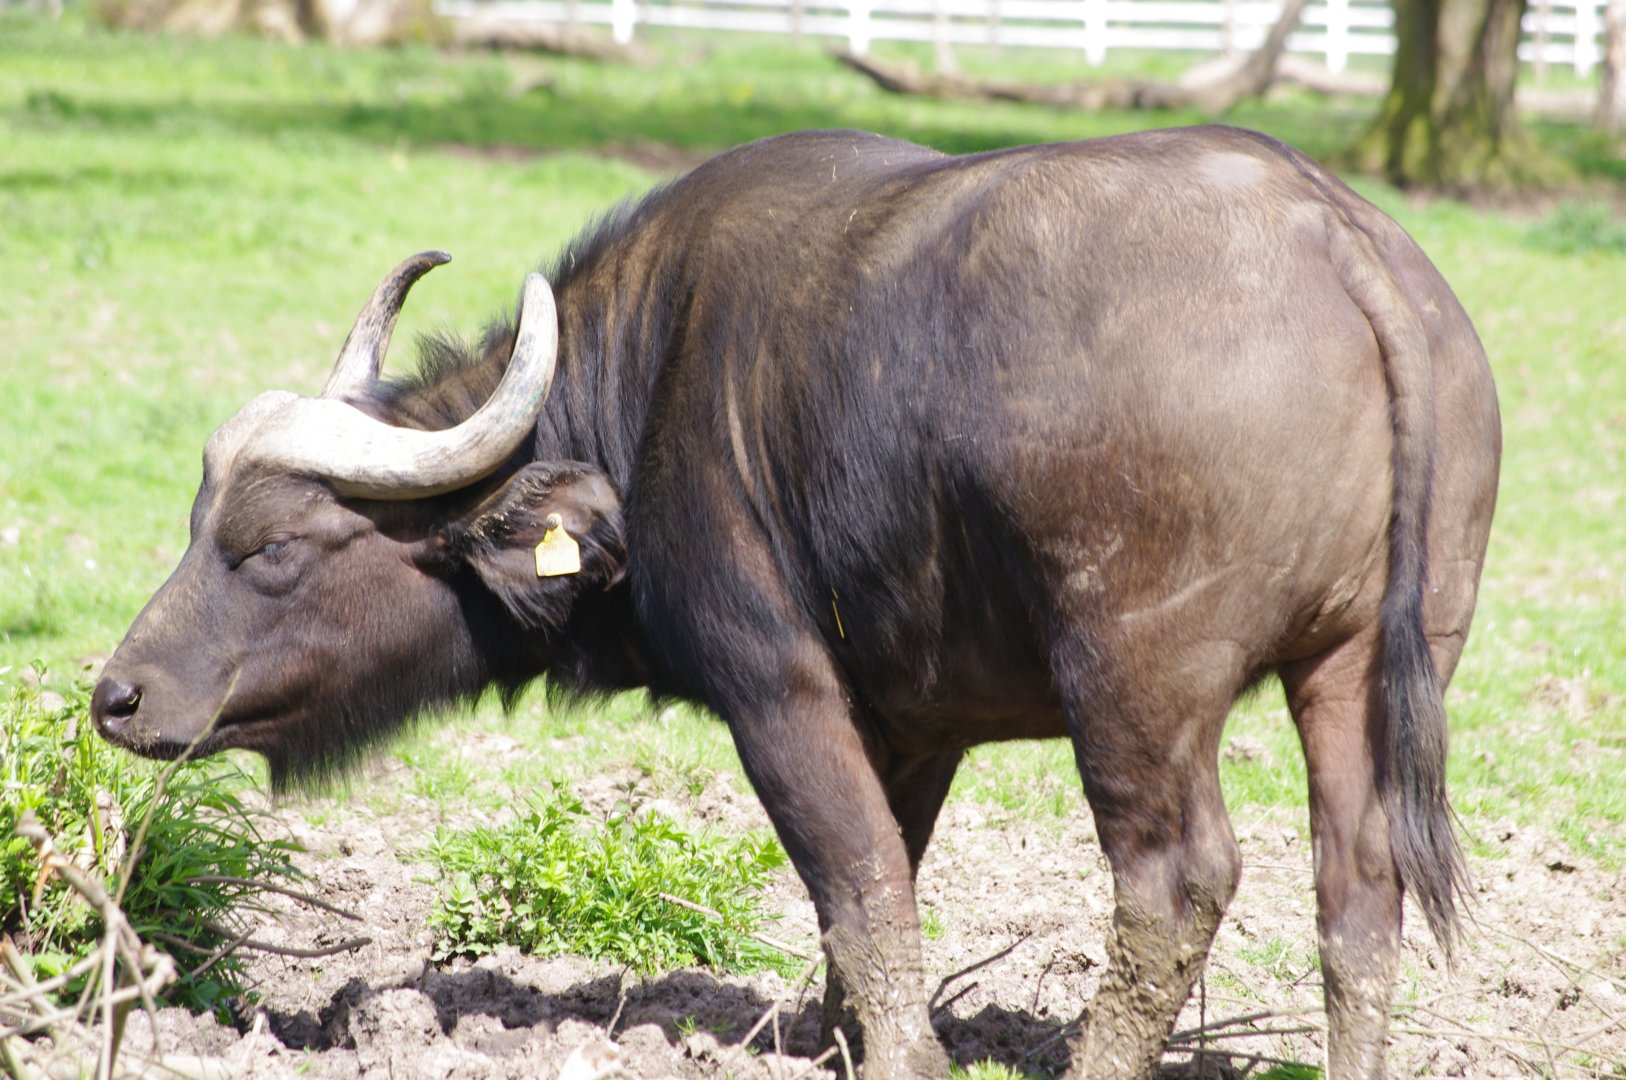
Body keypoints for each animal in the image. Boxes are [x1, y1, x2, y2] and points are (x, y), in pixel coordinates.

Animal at [94, 126, 1500, 1078]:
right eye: (197, 522)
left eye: (273, 546)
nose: (118, 696)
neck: (649, 389)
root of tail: (1332, 234)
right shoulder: (914, 724)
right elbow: (877, 895)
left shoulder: (778, 692)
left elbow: (860, 884)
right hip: (1367, 665)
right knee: (1358, 889)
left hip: (1134, 689)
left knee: (1176, 882)